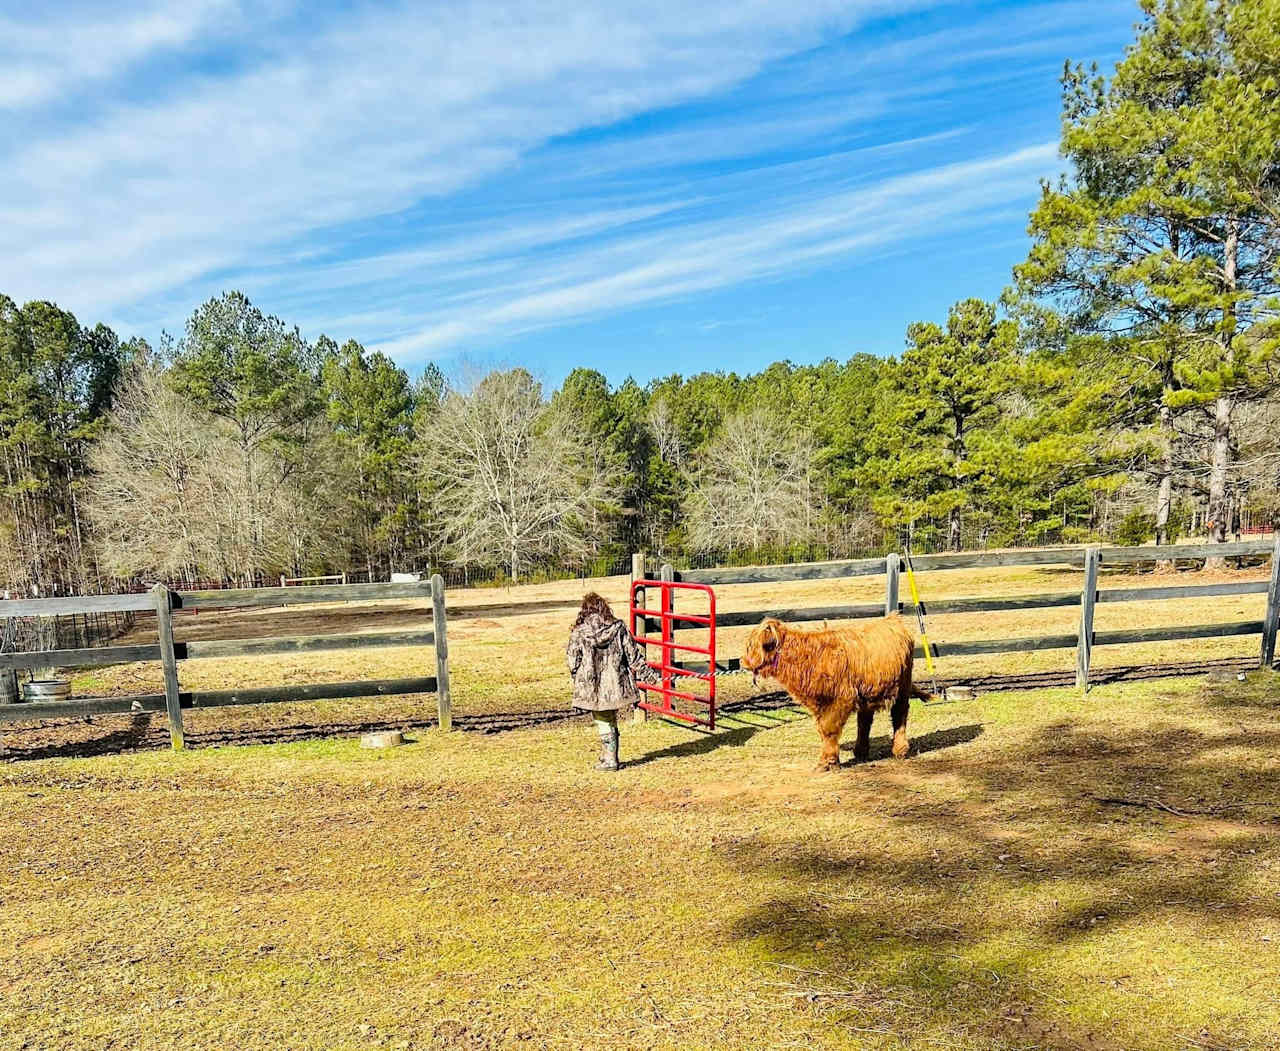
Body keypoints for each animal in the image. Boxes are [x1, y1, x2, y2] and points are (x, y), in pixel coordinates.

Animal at [742, 614, 931, 773]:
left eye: (753, 645)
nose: (742, 662)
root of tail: (893, 618)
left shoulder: (840, 700)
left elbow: (829, 730)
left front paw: (827, 763)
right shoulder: (819, 704)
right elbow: (822, 730)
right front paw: (829, 760)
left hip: (902, 687)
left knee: (899, 714)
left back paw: (899, 750)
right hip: (867, 693)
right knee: (865, 721)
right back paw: (860, 751)